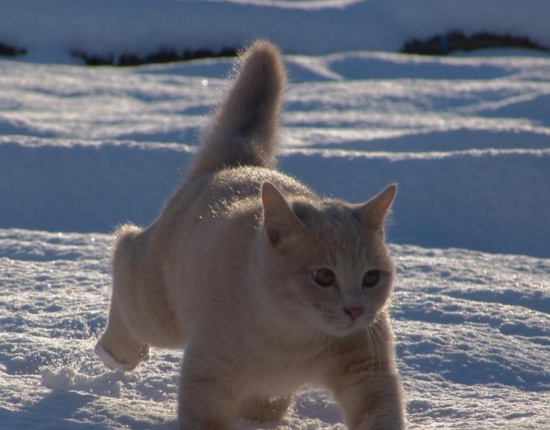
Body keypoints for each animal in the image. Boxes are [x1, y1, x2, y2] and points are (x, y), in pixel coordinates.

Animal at [95, 41, 408, 430]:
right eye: (323, 276)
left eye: (371, 278)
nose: (354, 309)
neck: (294, 338)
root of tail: (239, 163)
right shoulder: (208, 377)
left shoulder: (368, 370)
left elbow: (379, 412)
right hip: (156, 307)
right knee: (125, 250)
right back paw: (117, 351)